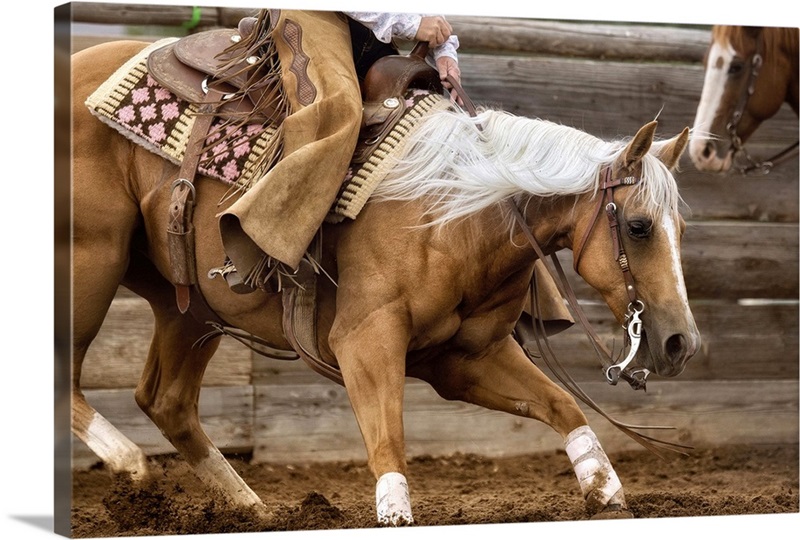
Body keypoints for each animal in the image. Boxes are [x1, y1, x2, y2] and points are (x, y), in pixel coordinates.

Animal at [70, 38, 700, 528]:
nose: (680, 343)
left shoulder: (465, 358)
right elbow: (388, 443)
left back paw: (252, 509)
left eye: (682, 227)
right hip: (87, 261)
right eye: (639, 226)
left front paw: (607, 492)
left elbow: (564, 406)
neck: (451, 214)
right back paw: (129, 463)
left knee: (166, 400)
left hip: (190, 308)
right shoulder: (365, 341)